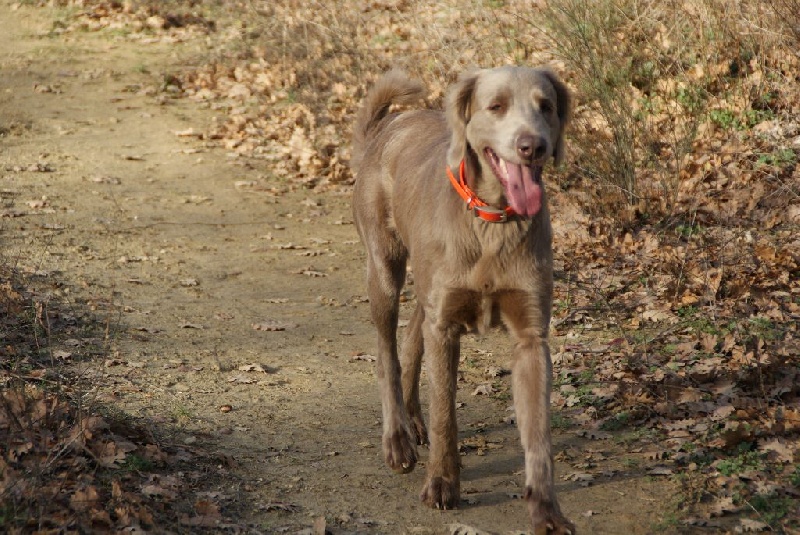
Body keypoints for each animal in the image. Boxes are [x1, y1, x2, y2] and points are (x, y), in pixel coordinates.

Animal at [354, 68, 572, 535]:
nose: (533, 146)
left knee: (413, 334)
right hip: (384, 267)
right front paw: (442, 484)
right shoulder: (445, 326)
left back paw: (412, 420)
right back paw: (398, 438)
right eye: (496, 106)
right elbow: (445, 414)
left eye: (546, 106)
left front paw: (546, 510)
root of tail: (387, 128)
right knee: (387, 351)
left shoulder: (530, 337)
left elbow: (539, 434)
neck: (494, 220)